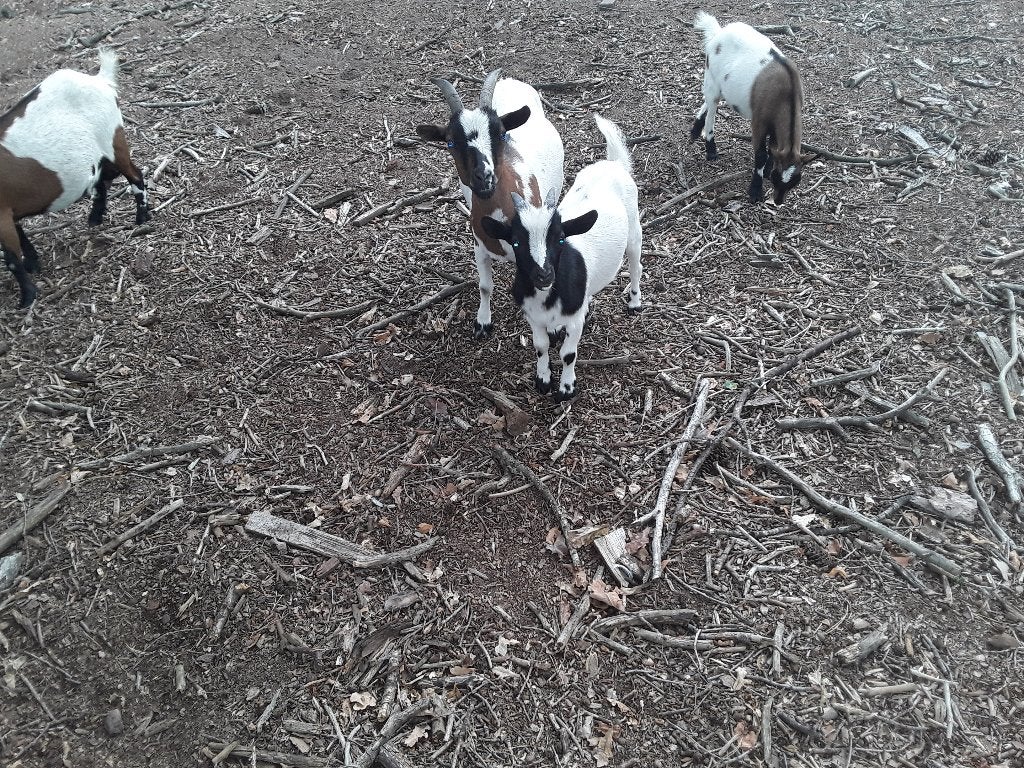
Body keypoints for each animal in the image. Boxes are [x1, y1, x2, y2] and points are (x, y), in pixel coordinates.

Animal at [1, 49, 149, 308]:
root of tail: (100, 80)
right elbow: (21, 236)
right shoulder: (10, 210)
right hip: (100, 155)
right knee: (103, 180)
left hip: (113, 140)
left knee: (134, 175)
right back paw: (95, 219)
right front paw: (33, 264)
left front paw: (27, 298)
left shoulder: (1, 214)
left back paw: (142, 218)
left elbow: (11, 259)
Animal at [416, 69, 563, 339]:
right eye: (450, 142)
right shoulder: (479, 246)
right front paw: (483, 322)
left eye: (501, 133)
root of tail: (510, 81)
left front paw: (555, 325)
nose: (484, 176)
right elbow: (485, 286)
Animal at [480, 114, 641, 401]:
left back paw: (635, 301)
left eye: (560, 238)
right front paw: (543, 379)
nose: (543, 274)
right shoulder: (533, 317)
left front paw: (566, 388)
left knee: (636, 263)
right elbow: (541, 346)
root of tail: (614, 163)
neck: (547, 297)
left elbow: (568, 353)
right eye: (516, 242)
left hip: (634, 228)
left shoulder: (573, 321)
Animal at [690, 10, 804, 204]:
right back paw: (710, 150)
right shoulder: (759, 121)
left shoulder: (774, 123)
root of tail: (719, 32)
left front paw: (767, 170)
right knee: (711, 107)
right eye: (777, 177)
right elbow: (761, 155)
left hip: (722, 86)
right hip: (711, 76)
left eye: (795, 181)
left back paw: (695, 131)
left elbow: (773, 149)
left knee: (708, 99)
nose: (778, 200)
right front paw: (755, 190)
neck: (787, 92)